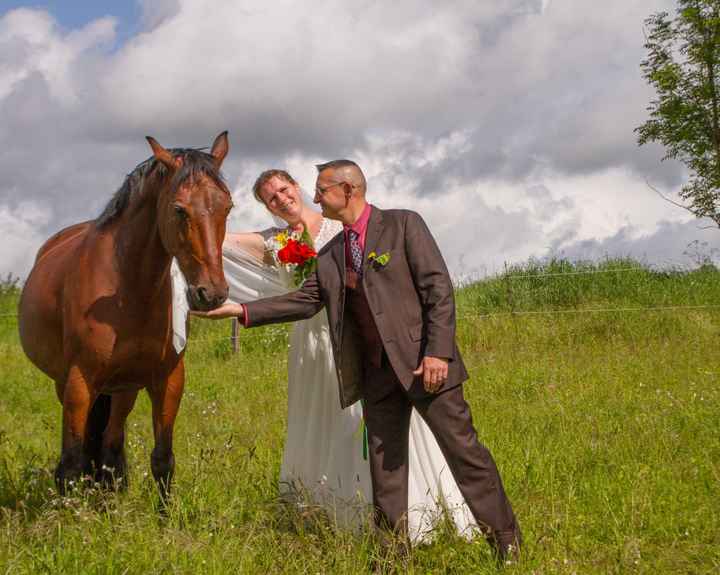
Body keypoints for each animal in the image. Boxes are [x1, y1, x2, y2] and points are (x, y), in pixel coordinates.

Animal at [18, 132, 233, 497]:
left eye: (227, 207)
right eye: (179, 210)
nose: (211, 293)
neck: (128, 291)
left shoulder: (167, 380)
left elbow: (162, 460)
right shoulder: (79, 382)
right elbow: (71, 464)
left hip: (123, 389)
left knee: (110, 446)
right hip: (69, 384)